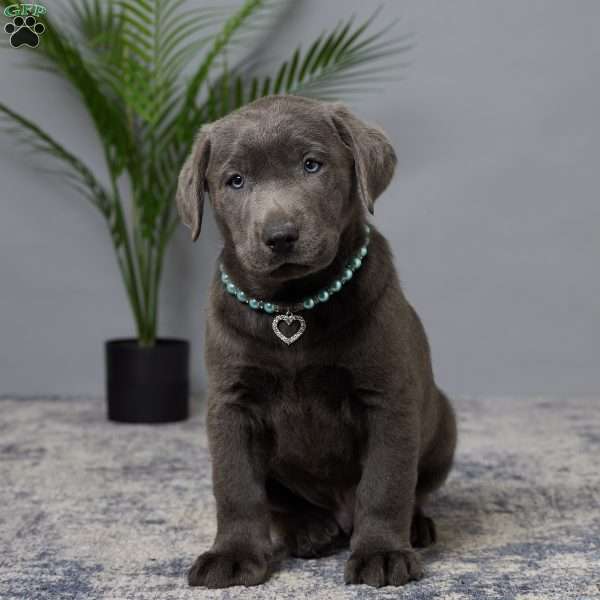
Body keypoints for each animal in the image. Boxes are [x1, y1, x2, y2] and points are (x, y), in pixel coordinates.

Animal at [176, 96, 458, 588]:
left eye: (311, 165)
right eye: (235, 180)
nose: (280, 236)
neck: (293, 307)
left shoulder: (387, 399)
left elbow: (386, 482)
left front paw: (382, 552)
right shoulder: (230, 405)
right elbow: (235, 487)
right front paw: (232, 553)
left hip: (443, 422)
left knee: (414, 487)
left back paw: (414, 526)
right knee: (279, 502)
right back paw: (308, 529)